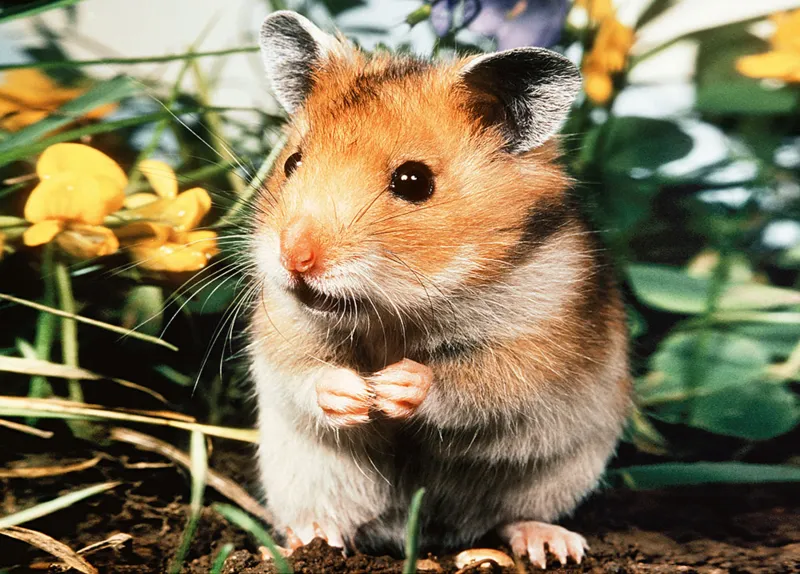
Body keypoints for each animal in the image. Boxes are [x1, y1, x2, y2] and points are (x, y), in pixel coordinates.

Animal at [247, 10, 631, 569]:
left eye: (414, 181)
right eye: (292, 163)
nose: (293, 258)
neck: (393, 311)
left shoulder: (539, 348)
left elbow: (474, 382)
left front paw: (391, 387)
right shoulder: (282, 330)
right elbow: (305, 372)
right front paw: (356, 394)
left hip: (555, 475)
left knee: (512, 517)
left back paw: (552, 545)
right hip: (307, 475)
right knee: (332, 519)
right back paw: (305, 539)